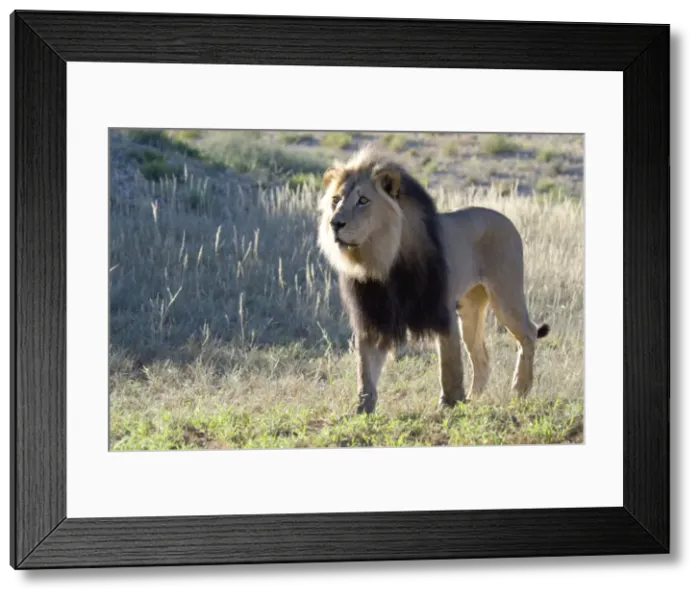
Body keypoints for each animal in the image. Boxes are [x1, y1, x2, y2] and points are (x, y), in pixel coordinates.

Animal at [317, 144, 550, 414]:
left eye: (363, 200)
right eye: (335, 200)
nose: (335, 223)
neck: (381, 260)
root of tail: (506, 220)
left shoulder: (441, 309)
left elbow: (449, 365)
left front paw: (450, 403)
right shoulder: (373, 316)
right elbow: (365, 369)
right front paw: (362, 409)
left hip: (506, 295)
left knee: (528, 334)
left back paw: (519, 390)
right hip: (470, 309)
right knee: (482, 358)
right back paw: (475, 399)